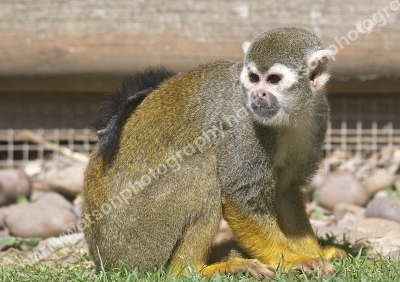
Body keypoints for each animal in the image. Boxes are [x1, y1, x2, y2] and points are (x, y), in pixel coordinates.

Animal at [83, 27, 344, 280]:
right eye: (253, 78)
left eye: (273, 79)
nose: (257, 95)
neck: (292, 115)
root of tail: (102, 256)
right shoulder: (243, 127)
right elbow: (241, 198)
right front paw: (292, 260)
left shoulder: (318, 115)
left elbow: (286, 191)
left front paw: (317, 254)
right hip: (135, 240)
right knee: (200, 170)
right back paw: (194, 270)